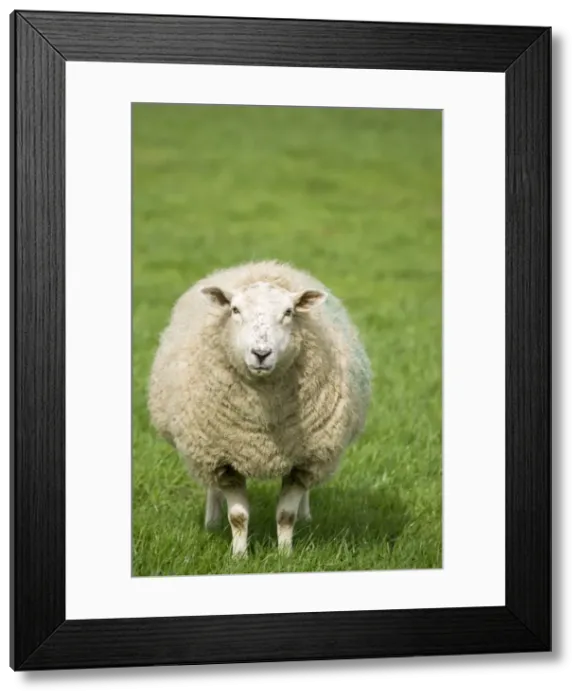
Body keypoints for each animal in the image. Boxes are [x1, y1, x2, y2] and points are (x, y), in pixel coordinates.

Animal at [147, 260, 372, 557]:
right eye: (235, 310)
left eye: (289, 312)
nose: (261, 353)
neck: (263, 425)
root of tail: (260, 265)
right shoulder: (222, 458)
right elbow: (238, 516)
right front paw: (239, 556)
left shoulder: (306, 459)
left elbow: (286, 515)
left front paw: (285, 555)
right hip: (203, 449)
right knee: (211, 488)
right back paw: (212, 521)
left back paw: (306, 516)